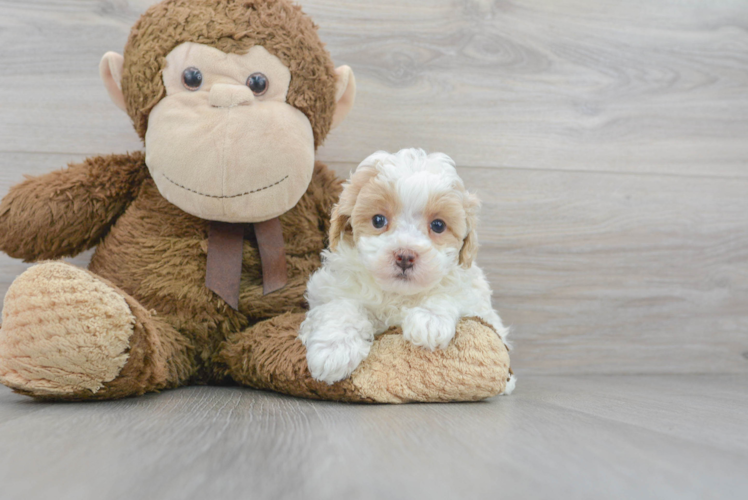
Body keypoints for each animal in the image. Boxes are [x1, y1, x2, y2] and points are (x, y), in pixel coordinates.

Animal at [300, 146, 512, 388]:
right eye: (378, 220)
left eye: (438, 225)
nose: (405, 256)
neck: (397, 294)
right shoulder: (329, 287)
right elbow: (340, 306)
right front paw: (334, 348)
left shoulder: (474, 294)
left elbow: (451, 293)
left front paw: (430, 320)